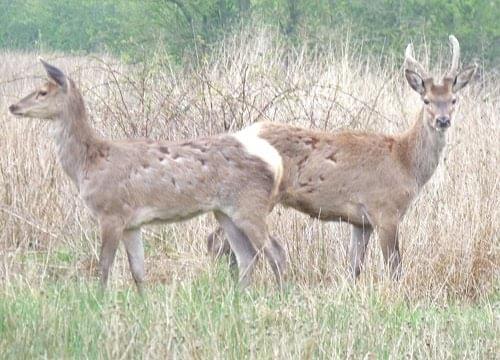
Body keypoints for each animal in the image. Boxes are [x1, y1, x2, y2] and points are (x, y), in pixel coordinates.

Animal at [9, 60, 288, 292]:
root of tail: (275, 161)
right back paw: (238, 297)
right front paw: (143, 302)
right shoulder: (132, 222)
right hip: (224, 211)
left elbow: (104, 266)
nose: (13, 106)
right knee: (247, 256)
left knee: (275, 251)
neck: (87, 164)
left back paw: (281, 295)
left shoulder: (111, 211)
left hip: (249, 204)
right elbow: (138, 271)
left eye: (42, 92)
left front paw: (100, 300)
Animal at [208, 35, 476, 278]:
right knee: (217, 241)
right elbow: (394, 268)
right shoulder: (385, 209)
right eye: (426, 100)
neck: (405, 162)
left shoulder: (361, 221)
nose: (443, 120)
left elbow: (353, 268)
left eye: (453, 99)